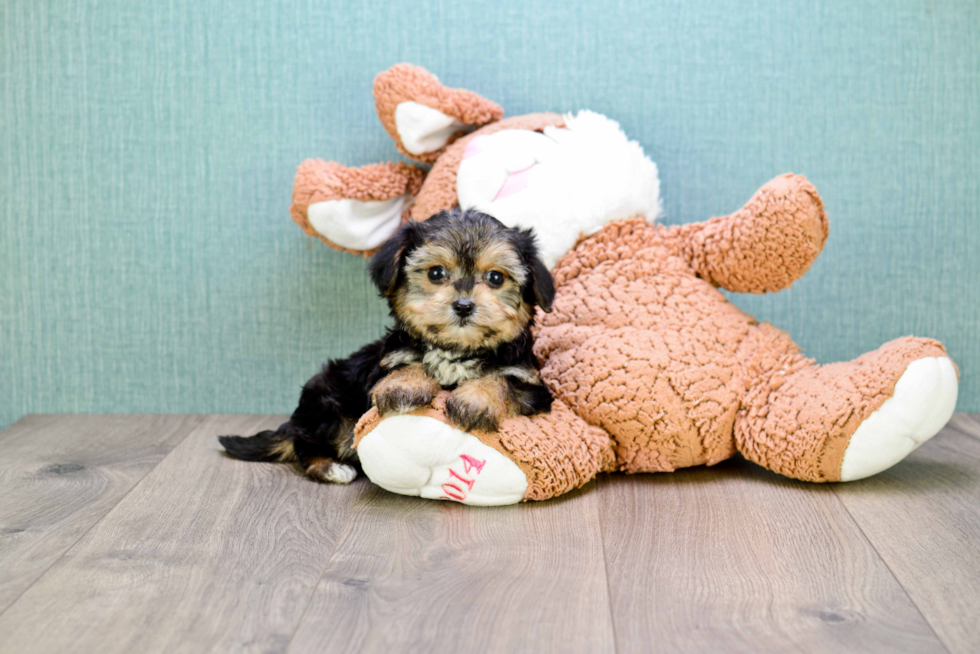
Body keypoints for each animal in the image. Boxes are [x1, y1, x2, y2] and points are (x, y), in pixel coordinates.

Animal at [219, 208, 556, 484]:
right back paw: (331, 467)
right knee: (310, 443)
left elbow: (503, 380)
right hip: (329, 406)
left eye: (496, 278)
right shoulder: (387, 360)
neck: (455, 349)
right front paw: (404, 387)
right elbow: (406, 366)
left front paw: (475, 399)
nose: (463, 305)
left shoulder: (531, 384)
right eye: (436, 273)